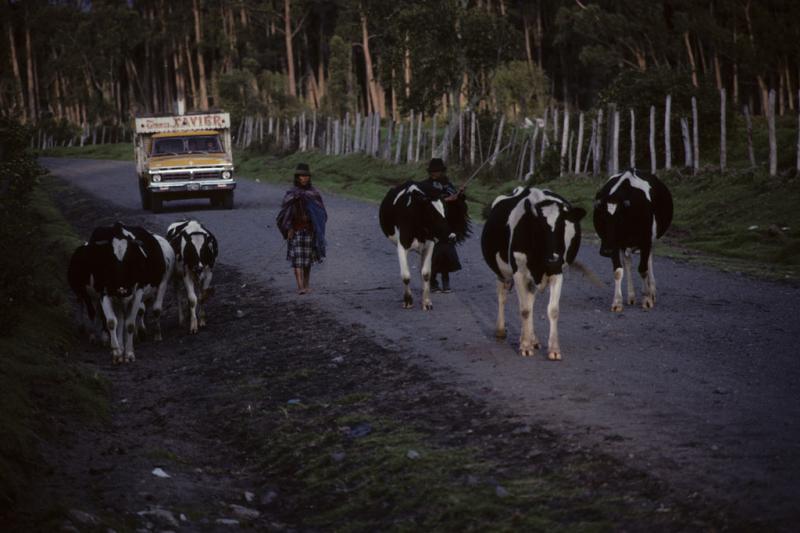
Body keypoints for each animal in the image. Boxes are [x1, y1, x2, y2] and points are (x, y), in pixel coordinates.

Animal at [382, 181, 456, 310]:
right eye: (432, 214)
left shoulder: (429, 245)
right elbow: (406, 276)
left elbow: (426, 273)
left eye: (445, 212)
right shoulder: (402, 246)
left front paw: (426, 301)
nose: (452, 236)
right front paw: (408, 301)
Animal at [482, 186, 588, 358]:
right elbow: (524, 310)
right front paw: (525, 346)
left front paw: (553, 349)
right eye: (539, 227)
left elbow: (552, 310)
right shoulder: (518, 273)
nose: (553, 259)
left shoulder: (557, 272)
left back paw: (533, 338)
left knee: (530, 301)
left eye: (562, 225)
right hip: (502, 272)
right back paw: (501, 330)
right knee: (502, 296)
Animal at [592, 168, 672, 312]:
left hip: (651, 241)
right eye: (601, 218)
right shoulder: (615, 244)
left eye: (619, 219)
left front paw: (647, 299)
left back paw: (651, 292)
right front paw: (617, 302)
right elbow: (618, 271)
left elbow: (643, 269)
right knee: (628, 263)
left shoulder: (646, 241)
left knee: (649, 261)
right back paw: (631, 296)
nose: (606, 250)